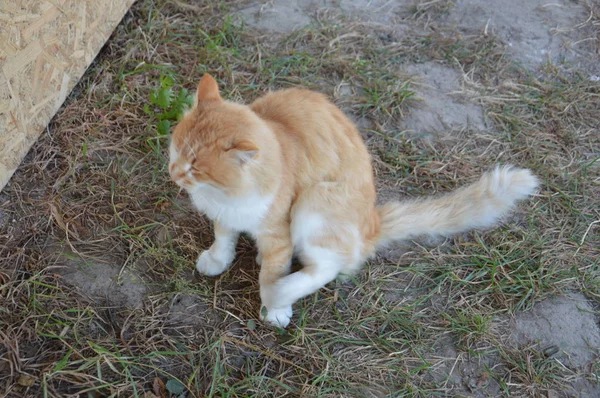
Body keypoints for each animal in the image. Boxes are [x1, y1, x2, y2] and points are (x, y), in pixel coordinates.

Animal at [169, 74, 540, 326]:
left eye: (195, 167)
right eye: (176, 148)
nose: (173, 172)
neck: (227, 194)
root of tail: (371, 224)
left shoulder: (278, 231)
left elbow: (273, 273)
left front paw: (275, 308)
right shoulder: (225, 215)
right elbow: (223, 238)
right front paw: (218, 260)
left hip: (316, 201)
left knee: (329, 265)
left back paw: (282, 291)